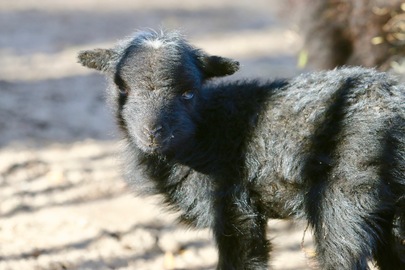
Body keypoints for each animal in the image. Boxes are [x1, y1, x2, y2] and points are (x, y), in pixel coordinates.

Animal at [78, 30, 404, 268]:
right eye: (122, 88)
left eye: (188, 93)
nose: (153, 133)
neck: (206, 131)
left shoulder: (234, 205)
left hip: (345, 193)